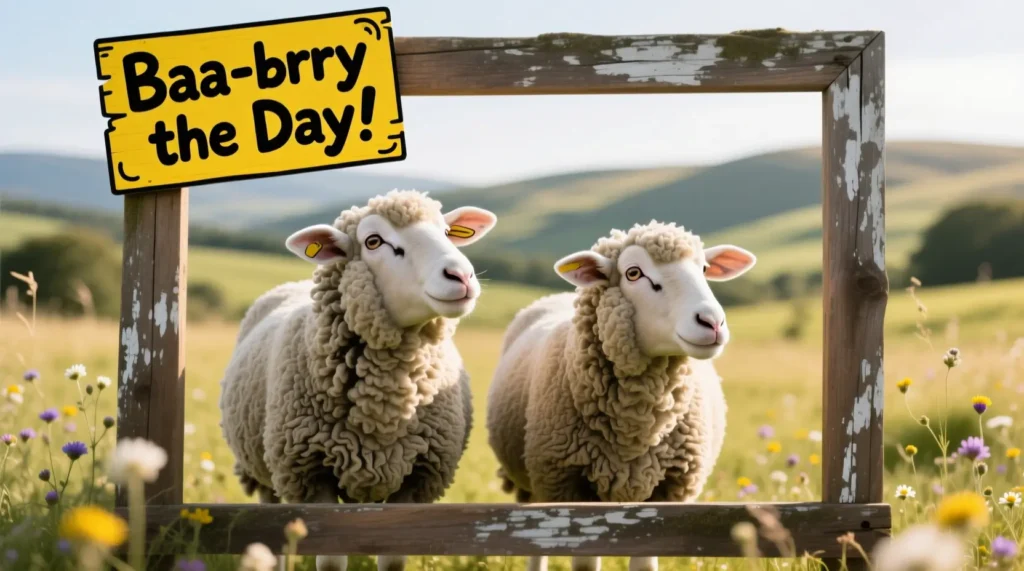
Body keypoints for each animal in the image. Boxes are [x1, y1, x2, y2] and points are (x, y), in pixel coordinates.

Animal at [219, 190, 497, 571]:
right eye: (373, 241)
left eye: (446, 231)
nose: (462, 275)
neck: (382, 409)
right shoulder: (311, 473)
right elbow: (331, 561)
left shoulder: (416, 475)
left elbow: (393, 559)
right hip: (263, 473)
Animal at [486, 221, 756, 571]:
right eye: (633, 273)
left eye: (705, 268)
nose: (712, 322)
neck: (636, 428)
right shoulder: (568, 486)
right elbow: (585, 562)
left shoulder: (666, 490)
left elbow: (644, 563)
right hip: (533, 485)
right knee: (533, 539)